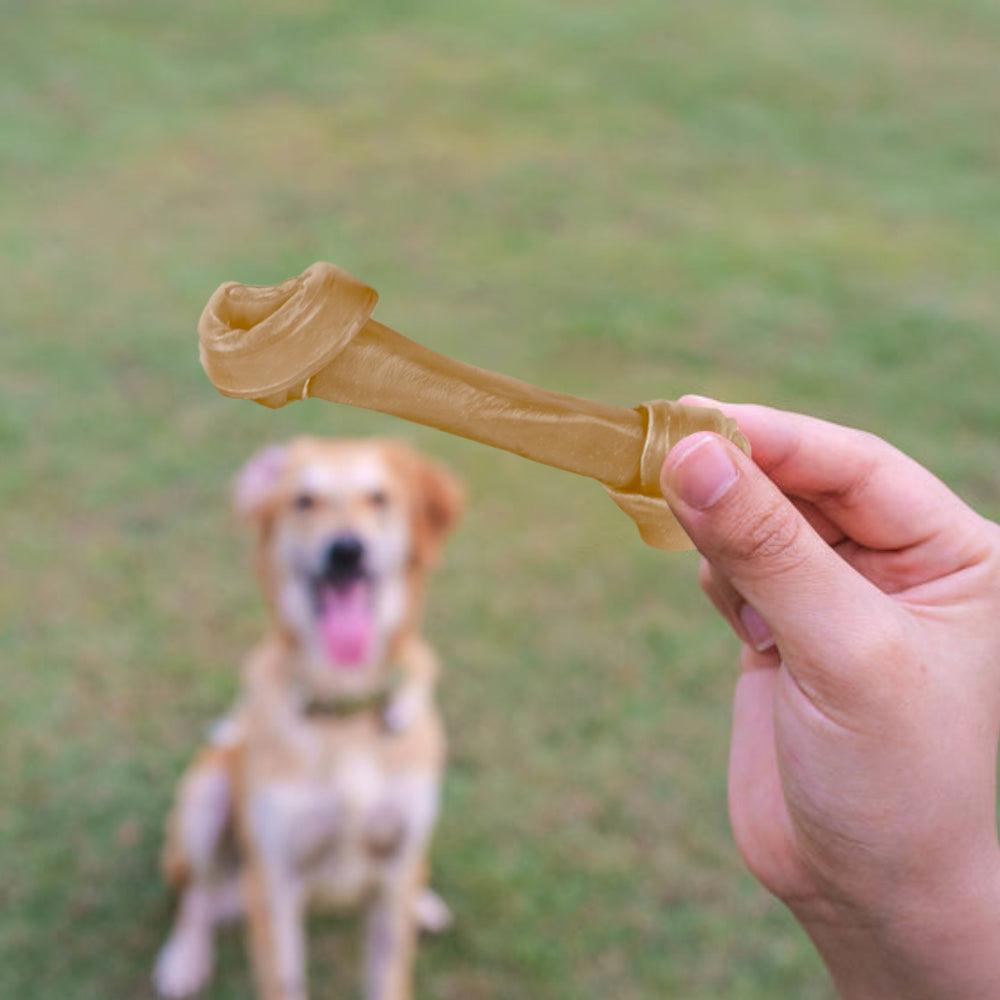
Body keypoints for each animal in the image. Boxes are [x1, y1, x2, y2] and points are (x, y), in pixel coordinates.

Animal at [153, 438, 464, 1000]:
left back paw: (424, 904)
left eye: (378, 498)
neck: (345, 707)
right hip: (205, 797)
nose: (346, 550)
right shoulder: (275, 884)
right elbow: (283, 978)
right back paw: (184, 957)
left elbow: (389, 972)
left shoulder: (394, 867)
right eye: (303, 501)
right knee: (197, 894)